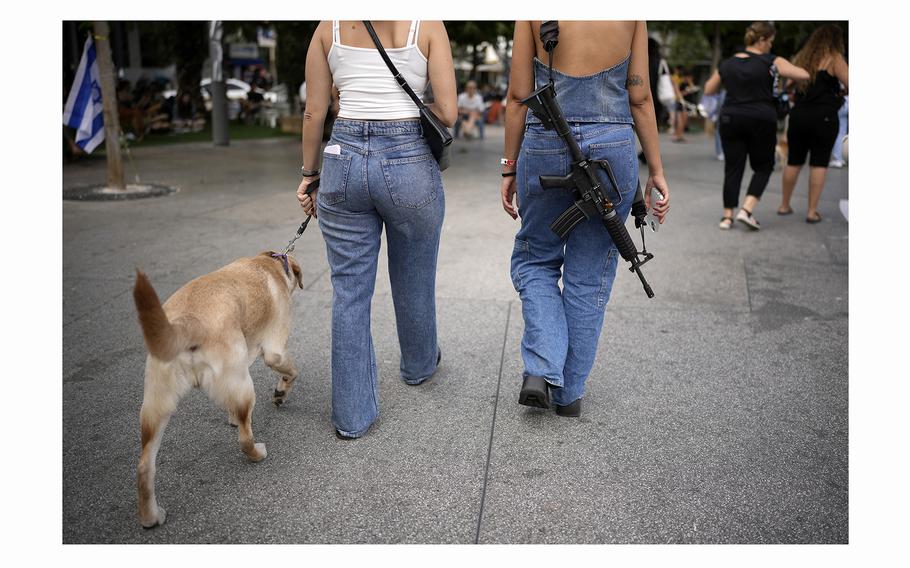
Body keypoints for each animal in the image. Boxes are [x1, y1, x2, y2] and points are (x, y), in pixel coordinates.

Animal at [133, 252, 302, 528]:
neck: (271, 263)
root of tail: (186, 324)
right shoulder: (274, 350)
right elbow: (290, 371)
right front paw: (281, 392)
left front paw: (232, 417)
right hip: (244, 387)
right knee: (244, 439)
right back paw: (258, 453)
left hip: (155, 407)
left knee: (144, 466)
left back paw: (151, 517)